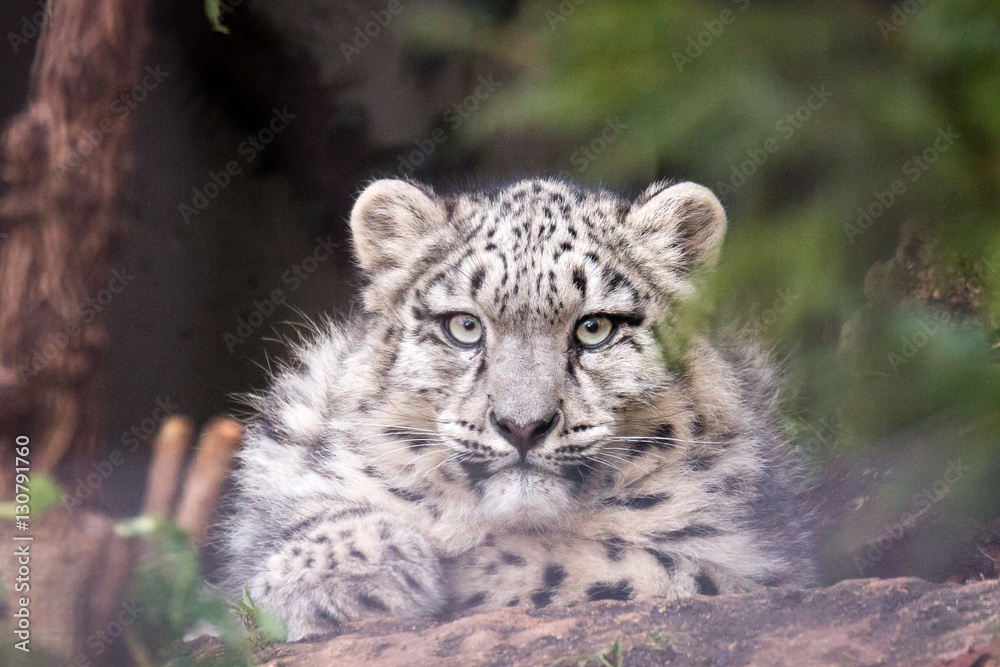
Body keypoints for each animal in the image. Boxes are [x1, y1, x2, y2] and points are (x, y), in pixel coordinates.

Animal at [219, 177, 815, 641]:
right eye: (464, 326)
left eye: (594, 328)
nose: (522, 426)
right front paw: (342, 583)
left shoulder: (755, 559)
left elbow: (641, 569)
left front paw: (478, 571)